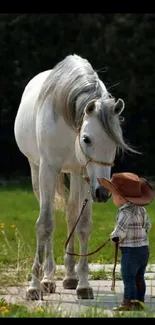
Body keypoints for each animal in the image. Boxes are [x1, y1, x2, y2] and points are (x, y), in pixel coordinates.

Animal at [13, 53, 134, 298]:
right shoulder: (48, 169)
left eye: (115, 144)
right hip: (37, 170)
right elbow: (45, 224)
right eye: (87, 139)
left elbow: (83, 224)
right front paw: (34, 286)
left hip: (77, 176)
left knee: (71, 214)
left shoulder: (86, 175)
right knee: (49, 217)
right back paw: (48, 280)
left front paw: (84, 285)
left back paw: (69, 277)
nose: (104, 192)